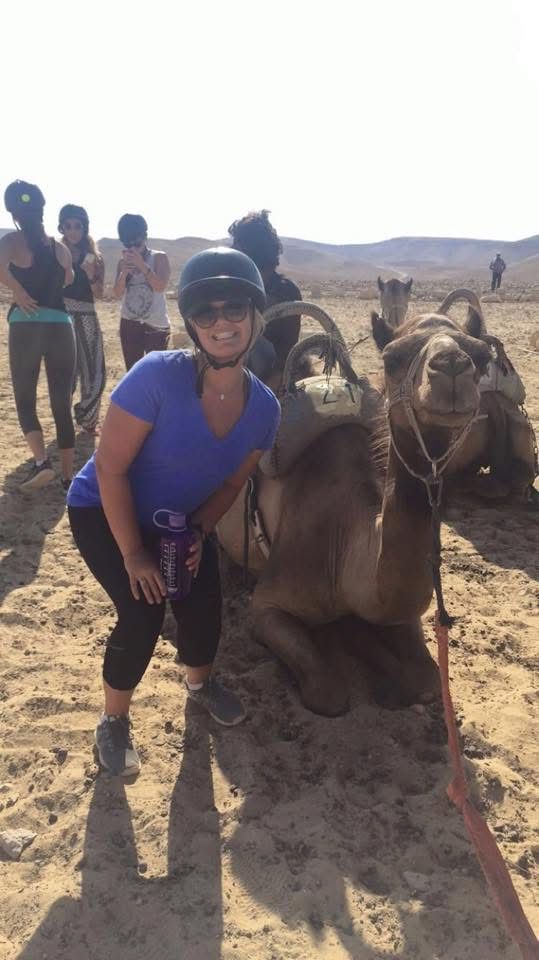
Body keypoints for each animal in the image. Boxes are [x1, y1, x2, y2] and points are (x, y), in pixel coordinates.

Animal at [218, 306, 492, 716]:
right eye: (392, 358)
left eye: (481, 355)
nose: (452, 365)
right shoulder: (269, 605)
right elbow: (327, 693)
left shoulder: (396, 610)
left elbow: (428, 681)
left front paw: (387, 675)